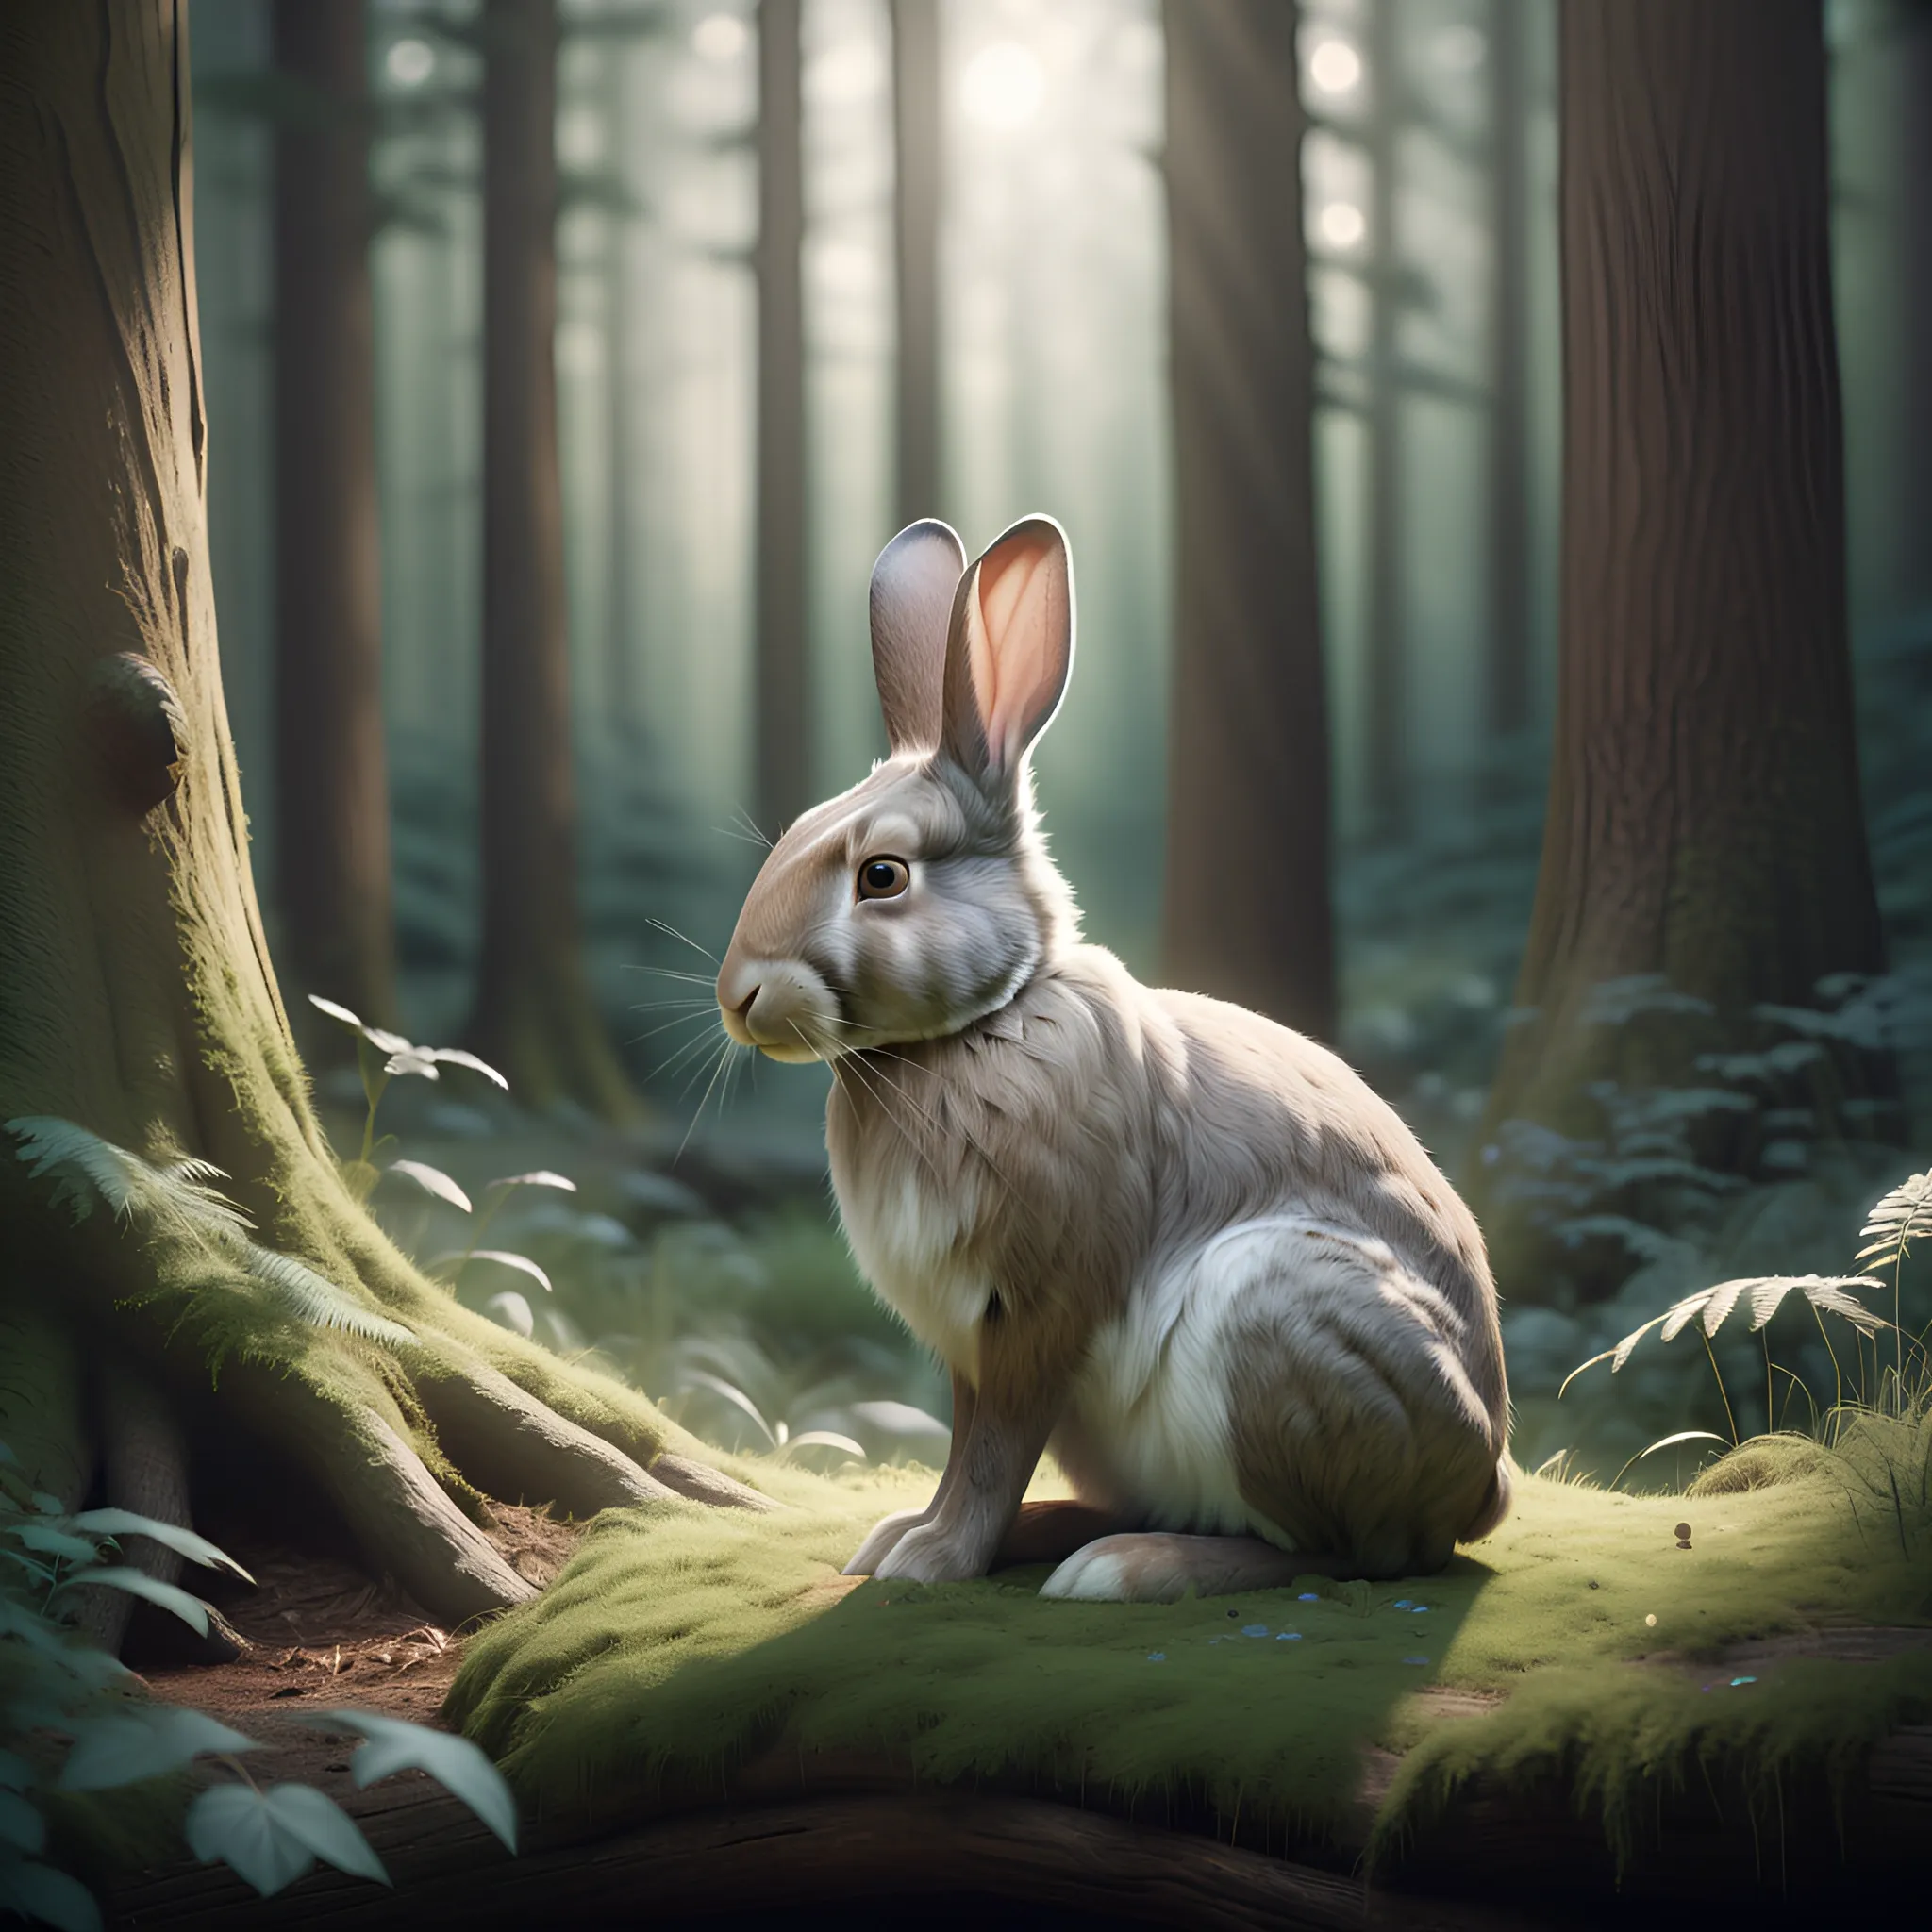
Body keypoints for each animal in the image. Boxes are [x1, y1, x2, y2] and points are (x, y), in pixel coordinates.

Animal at [715, 515, 1512, 1601]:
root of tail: (1486, 1483)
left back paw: (1131, 1567)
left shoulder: (1035, 1308)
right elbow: (965, 1445)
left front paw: (930, 1561)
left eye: (881, 876)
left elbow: (993, 1448)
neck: (985, 1023)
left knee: (1345, 1551)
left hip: (1281, 1323)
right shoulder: (969, 1338)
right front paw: (904, 1538)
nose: (738, 995)